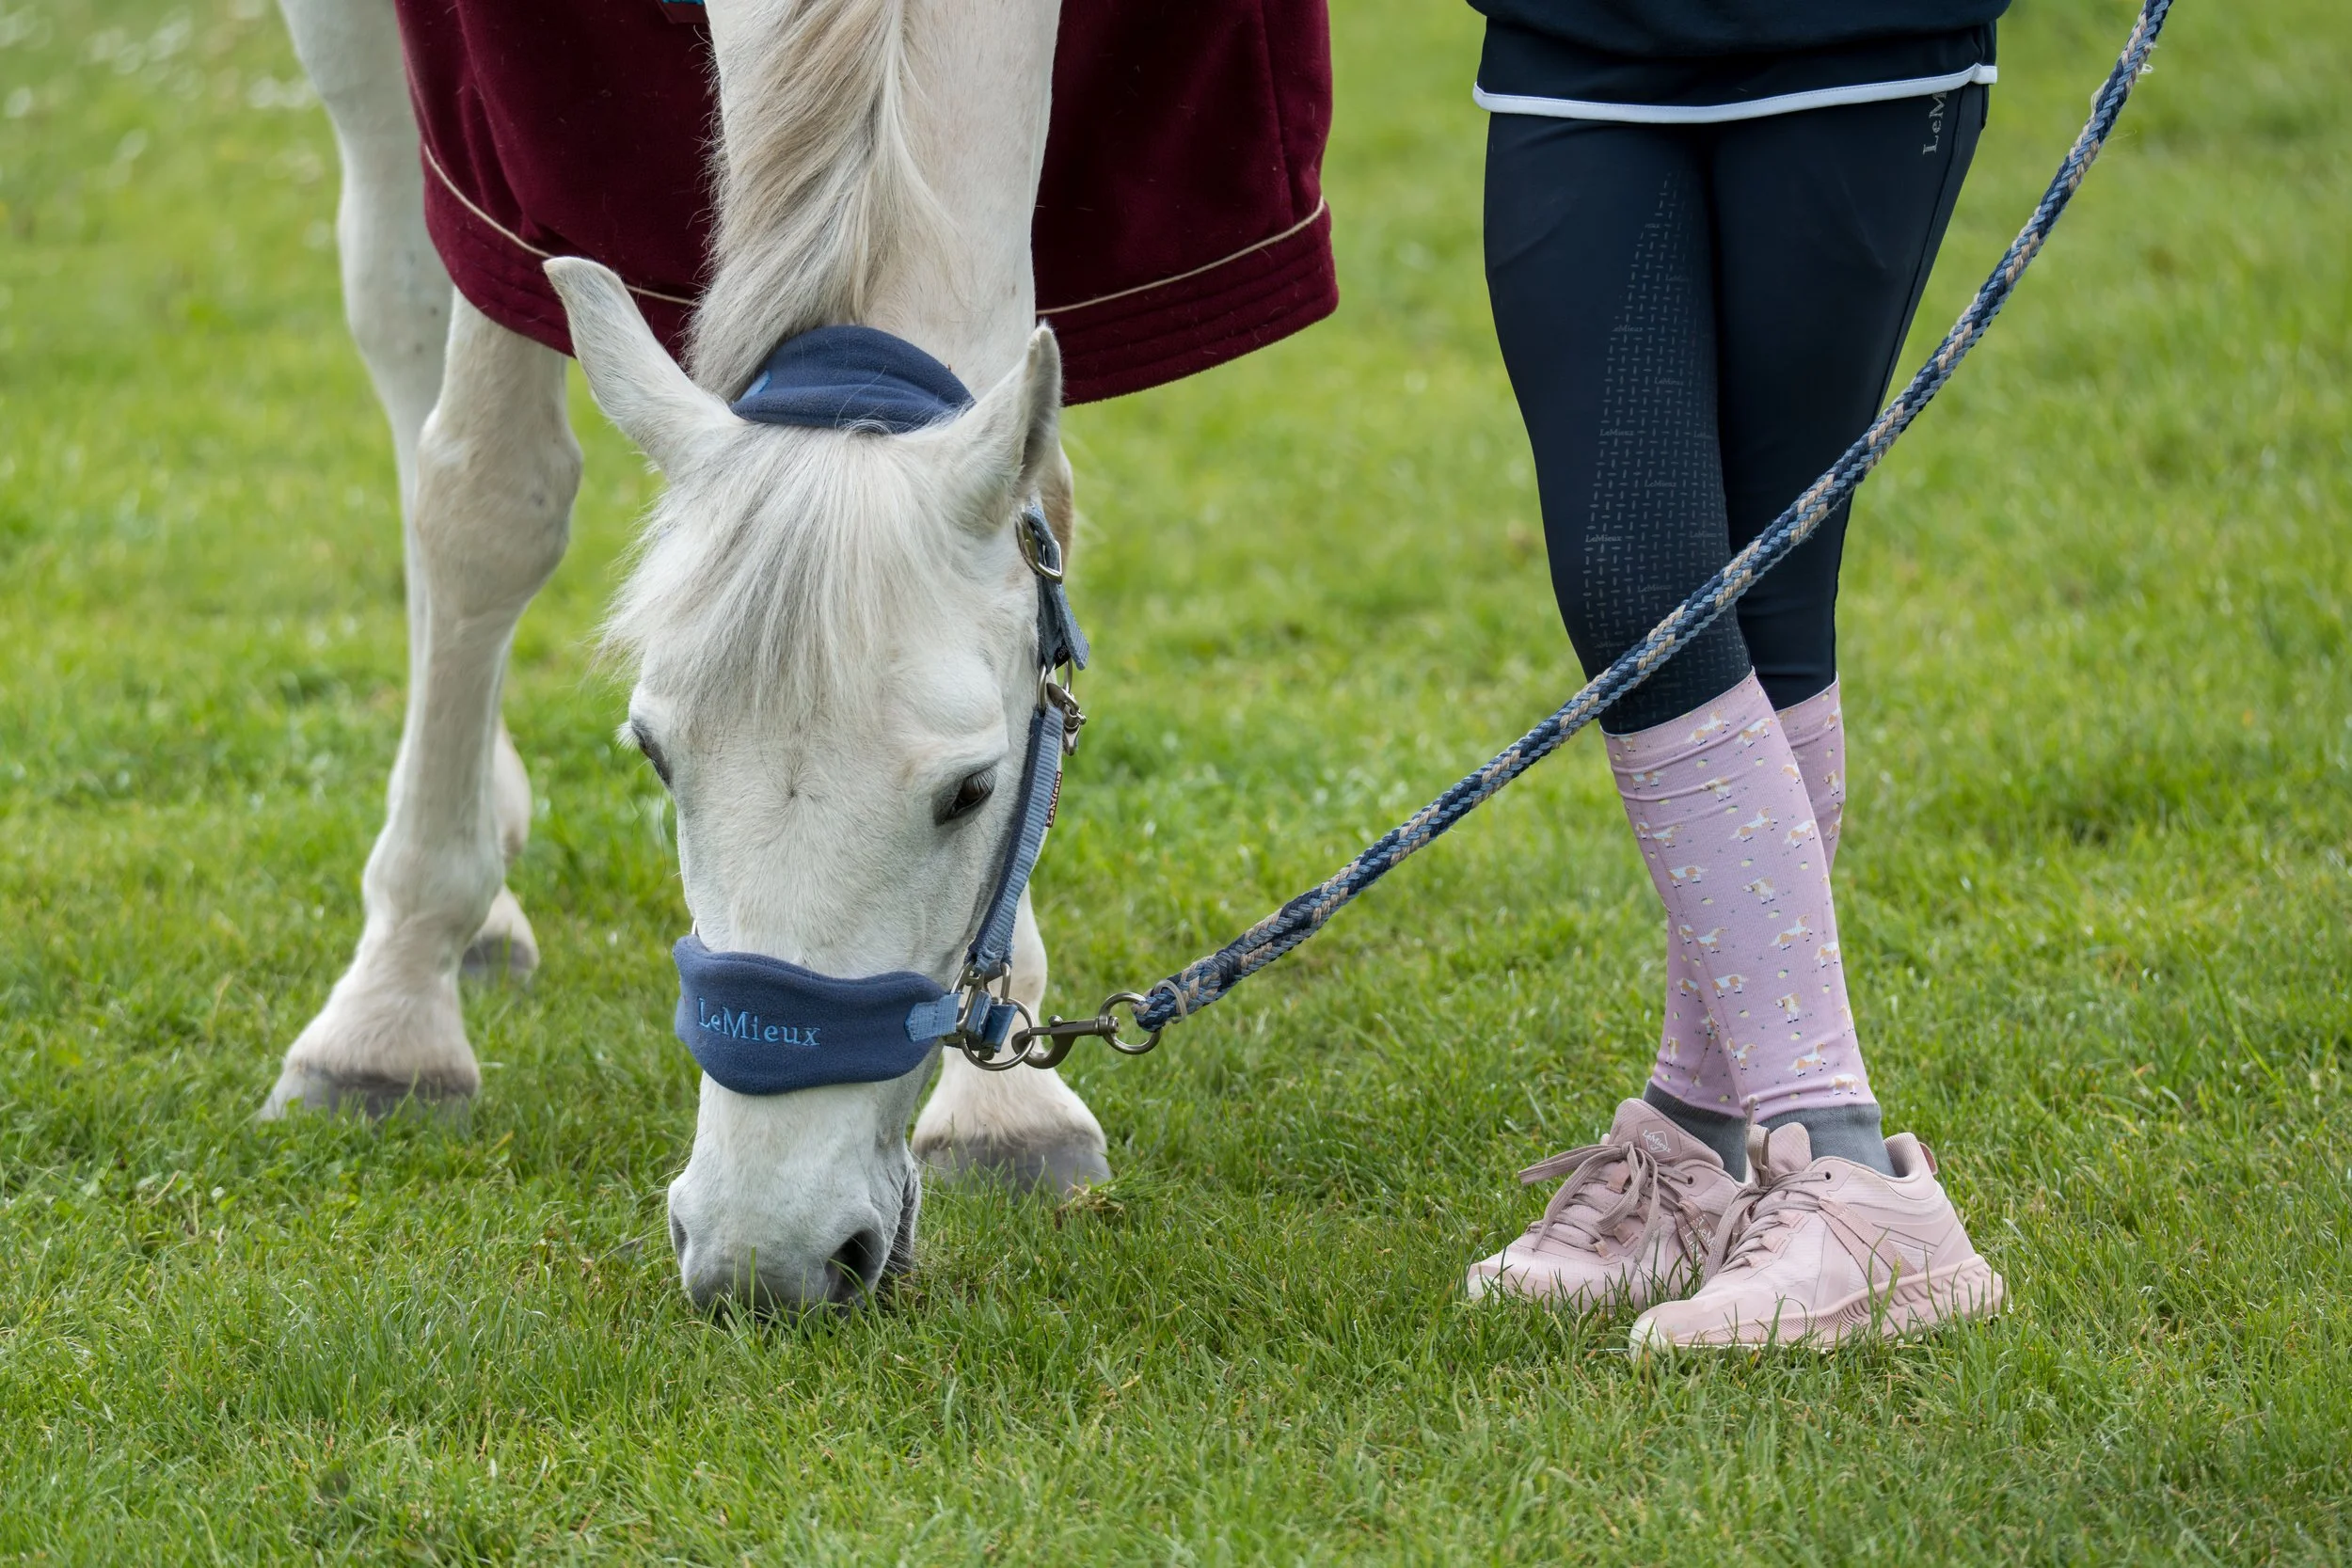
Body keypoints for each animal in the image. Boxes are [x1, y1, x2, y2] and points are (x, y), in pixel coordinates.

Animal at [264, 0, 1158, 1312]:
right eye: (654, 755)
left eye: (974, 789)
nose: (762, 1254)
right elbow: (485, 495)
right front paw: (387, 1026)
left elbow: (1044, 509)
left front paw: (1009, 1099)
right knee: (396, 301)